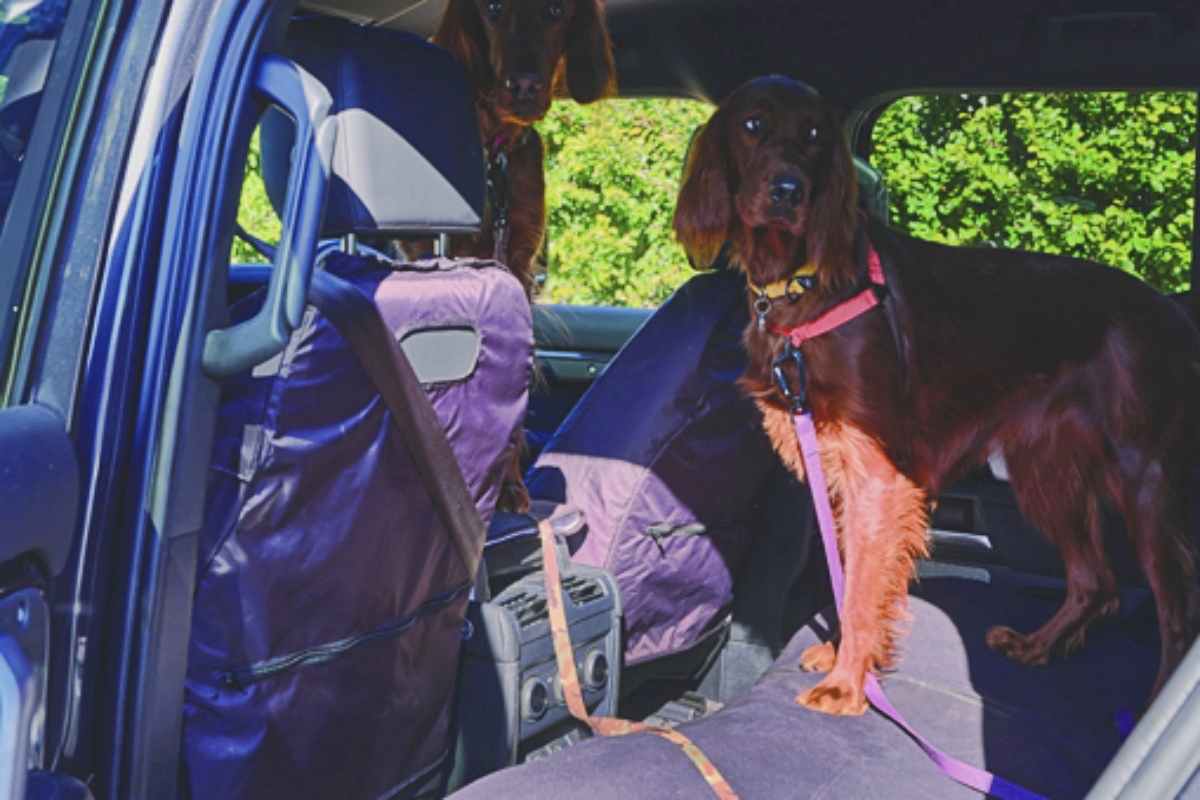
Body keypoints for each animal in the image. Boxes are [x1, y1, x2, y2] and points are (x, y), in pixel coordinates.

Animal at [673, 75, 1200, 716]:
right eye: (752, 124)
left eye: (815, 133)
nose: (787, 190)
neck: (801, 284)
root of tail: (1176, 313)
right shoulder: (839, 463)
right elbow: (850, 572)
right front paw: (846, 659)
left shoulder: (877, 470)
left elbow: (862, 583)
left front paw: (847, 684)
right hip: (1045, 467)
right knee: (1095, 584)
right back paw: (1035, 646)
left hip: (1143, 477)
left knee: (1177, 612)